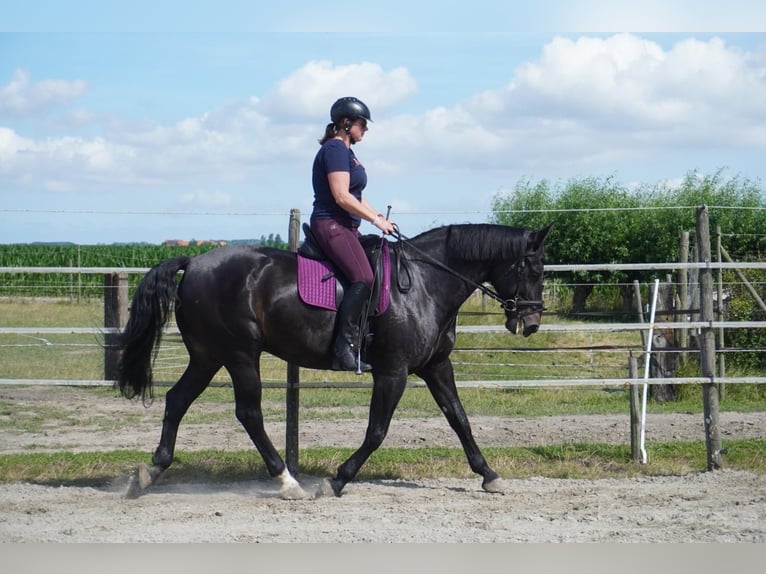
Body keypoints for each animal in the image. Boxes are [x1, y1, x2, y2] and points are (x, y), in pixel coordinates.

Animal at [116, 223, 551, 499]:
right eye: (532, 267)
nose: (530, 323)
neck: (425, 285)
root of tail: (193, 263)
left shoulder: (436, 367)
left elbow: (459, 419)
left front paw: (489, 475)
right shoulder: (393, 372)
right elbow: (377, 431)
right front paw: (337, 480)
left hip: (208, 356)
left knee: (177, 400)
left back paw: (149, 474)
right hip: (240, 354)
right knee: (249, 413)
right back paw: (288, 483)